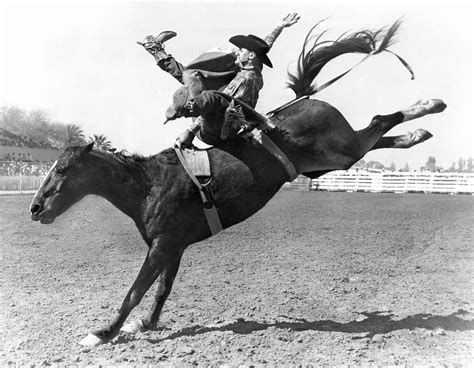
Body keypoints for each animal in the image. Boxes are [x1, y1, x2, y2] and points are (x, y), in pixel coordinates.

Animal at [28, 21, 444, 346]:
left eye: (62, 170)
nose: (34, 208)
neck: (149, 185)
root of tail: (306, 99)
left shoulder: (161, 247)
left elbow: (135, 291)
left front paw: (102, 333)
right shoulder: (173, 247)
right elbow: (162, 289)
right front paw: (145, 324)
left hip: (337, 150)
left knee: (378, 121)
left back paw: (430, 106)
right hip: (325, 164)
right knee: (376, 133)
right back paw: (419, 131)